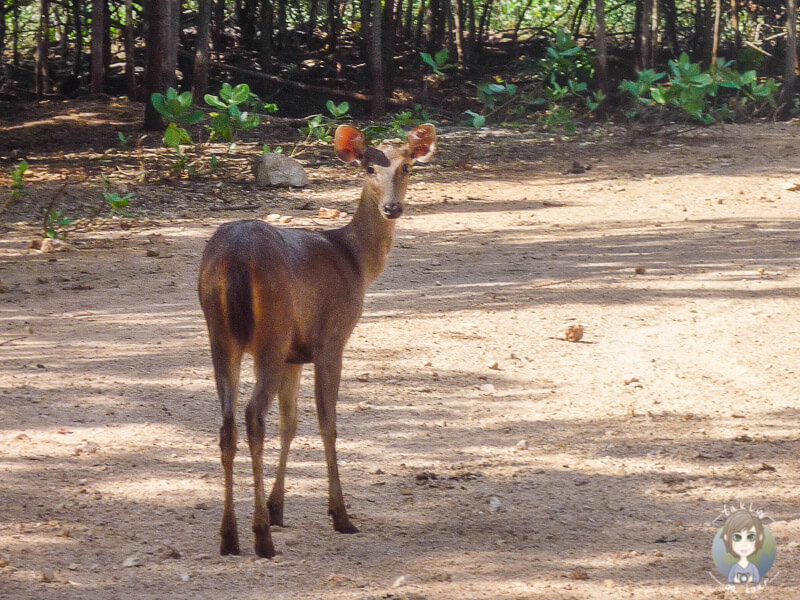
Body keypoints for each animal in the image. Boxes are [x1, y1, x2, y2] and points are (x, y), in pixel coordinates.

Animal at [200, 122, 438, 556]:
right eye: (368, 169)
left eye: (407, 167)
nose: (392, 208)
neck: (356, 263)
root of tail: (236, 257)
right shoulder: (331, 339)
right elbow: (328, 423)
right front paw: (340, 515)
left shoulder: (295, 354)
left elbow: (291, 423)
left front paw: (277, 508)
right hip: (271, 334)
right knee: (252, 414)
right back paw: (260, 538)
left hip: (221, 335)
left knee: (227, 424)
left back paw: (229, 537)